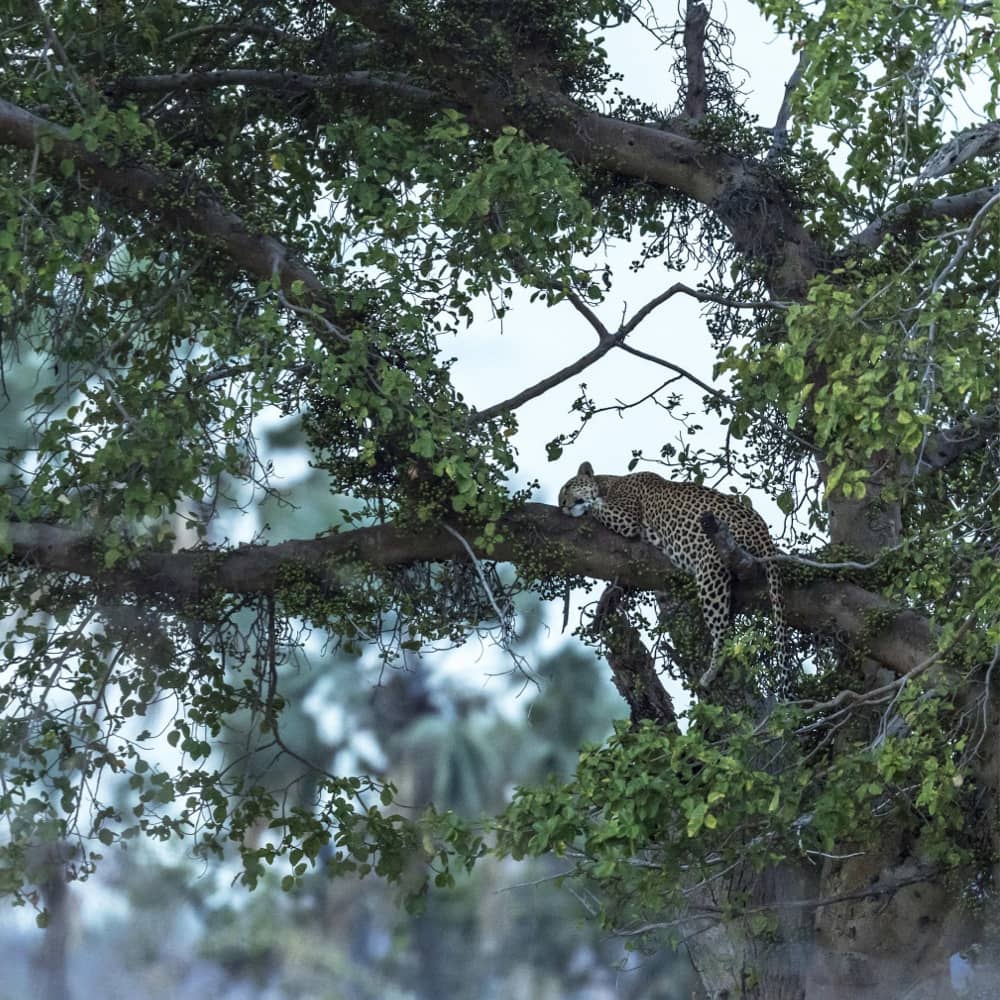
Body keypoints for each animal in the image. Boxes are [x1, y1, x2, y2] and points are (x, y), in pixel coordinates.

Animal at [558, 461, 790, 697]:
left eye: (567, 487)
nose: (563, 506)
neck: (609, 483)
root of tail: (763, 532)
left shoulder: (626, 517)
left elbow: (595, 506)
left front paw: (587, 504)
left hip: (710, 568)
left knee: (723, 632)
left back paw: (711, 671)